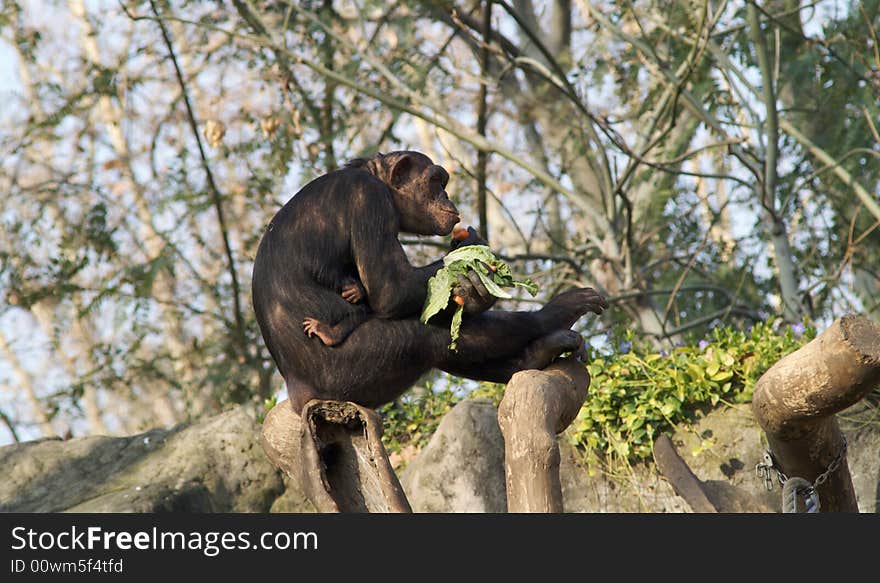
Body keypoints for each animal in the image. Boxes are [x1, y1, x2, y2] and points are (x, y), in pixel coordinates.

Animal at [251, 151, 600, 416]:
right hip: (344, 378)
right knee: (426, 336)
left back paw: (537, 353)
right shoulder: (369, 198)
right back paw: (553, 316)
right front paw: (471, 256)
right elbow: (391, 290)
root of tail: (298, 397)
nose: (446, 194)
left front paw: (474, 286)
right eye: (436, 182)